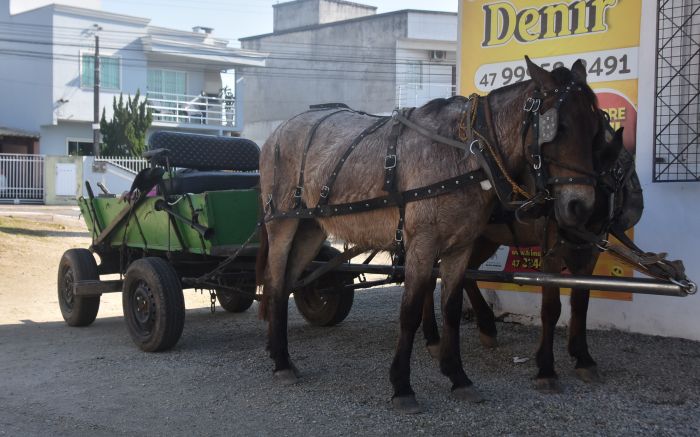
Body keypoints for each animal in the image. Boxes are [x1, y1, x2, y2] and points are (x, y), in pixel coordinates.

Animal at [258, 58, 600, 412]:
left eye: (595, 130)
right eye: (558, 128)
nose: (581, 206)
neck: (469, 154)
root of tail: (277, 133)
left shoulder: (460, 247)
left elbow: (450, 307)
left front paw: (458, 376)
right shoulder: (422, 245)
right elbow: (409, 311)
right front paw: (402, 386)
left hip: (310, 228)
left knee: (286, 282)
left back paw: (278, 351)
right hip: (282, 224)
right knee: (275, 282)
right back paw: (282, 362)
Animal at [422, 126, 644, 392]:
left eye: (610, 184)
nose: (569, 228)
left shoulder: (589, 251)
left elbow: (581, 303)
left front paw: (583, 358)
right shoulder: (552, 251)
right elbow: (551, 308)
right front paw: (546, 368)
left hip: (484, 238)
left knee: (466, 273)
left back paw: (486, 325)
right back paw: (433, 338)